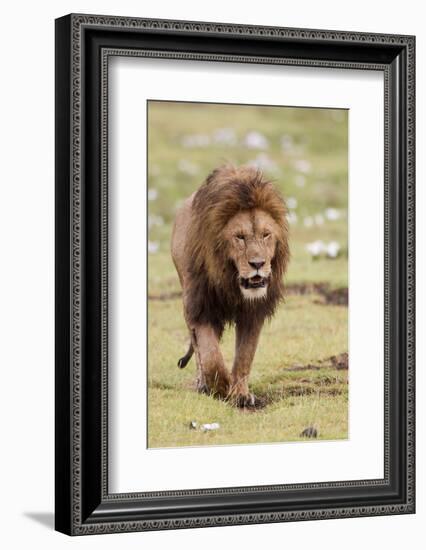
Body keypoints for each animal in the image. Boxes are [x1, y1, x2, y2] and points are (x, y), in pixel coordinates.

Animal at [170, 166, 290, 408]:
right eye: (240, 237)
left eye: (266, 234)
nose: (257, 264)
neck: (230, 281)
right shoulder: (200, 307)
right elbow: (210, 355)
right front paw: (221, 387)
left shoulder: (253, 313)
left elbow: (245, 355)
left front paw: (241, 394)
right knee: (198, 351)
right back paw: (203, 384)